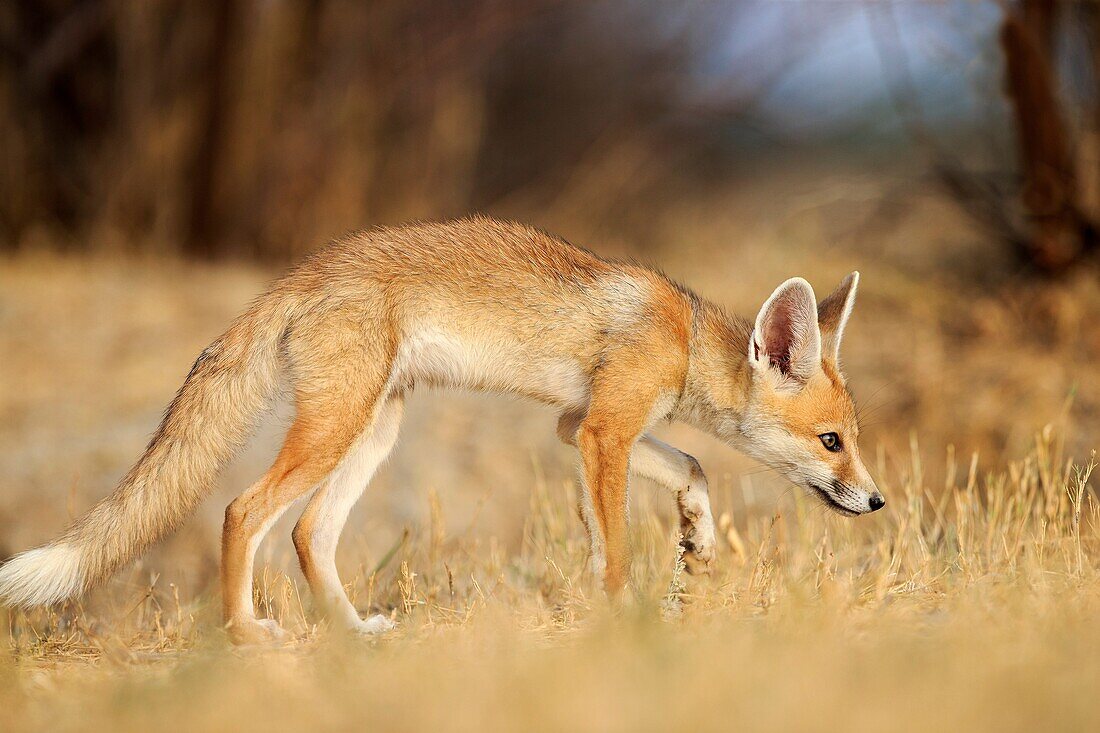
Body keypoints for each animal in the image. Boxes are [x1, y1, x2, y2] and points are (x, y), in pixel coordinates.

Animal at [0, 214, 880, 638]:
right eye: (833, 442)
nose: (875, 502)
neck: (682, 334)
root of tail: (303, 272)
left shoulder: (578, 424)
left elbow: (690, 468)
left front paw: (695, 535)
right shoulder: (604, 431)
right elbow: (619, 548)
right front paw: (627, 618)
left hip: (373, 431)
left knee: (308, 533)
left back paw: (353, 634)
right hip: (335, 428)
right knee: (243, 511)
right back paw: (247, 636)